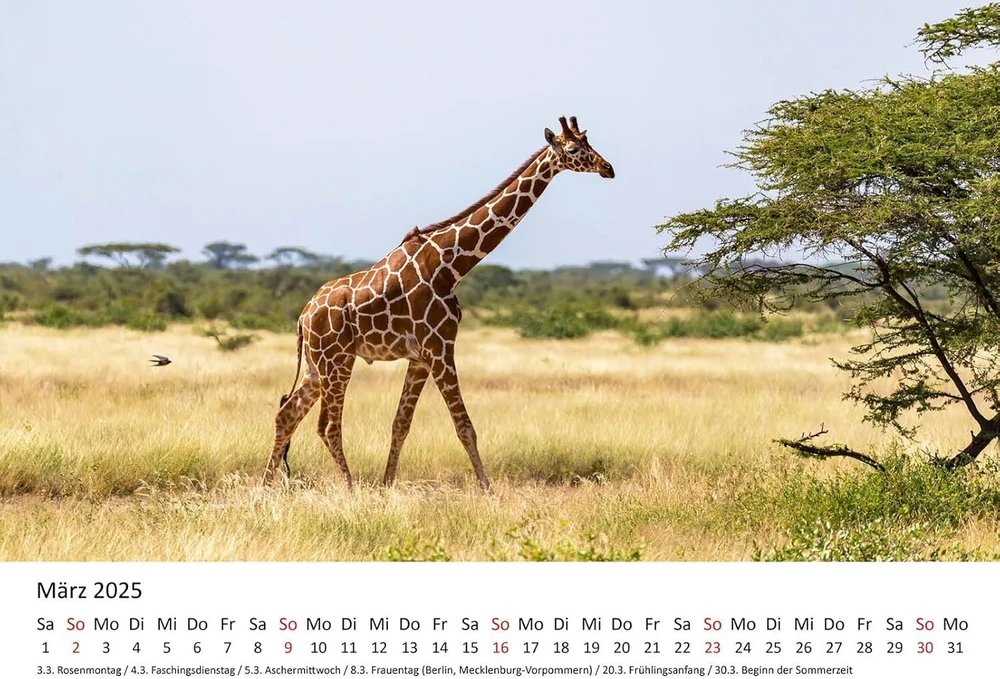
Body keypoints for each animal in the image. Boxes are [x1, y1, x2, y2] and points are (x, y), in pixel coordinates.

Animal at [263, 116, 615, 490]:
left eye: (590, 143)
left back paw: (266, 486)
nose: (608, 168)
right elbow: (465, 427)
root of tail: (303, 316)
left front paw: (388, 485)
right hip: (337, 360)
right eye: (574, 149)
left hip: (317, 365)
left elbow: (400, 424)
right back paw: (350, 487)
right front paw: (487, 489)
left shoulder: (420, 357)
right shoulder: (440, 347)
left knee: (287, 414)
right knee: (327, 426)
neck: (451, 265)